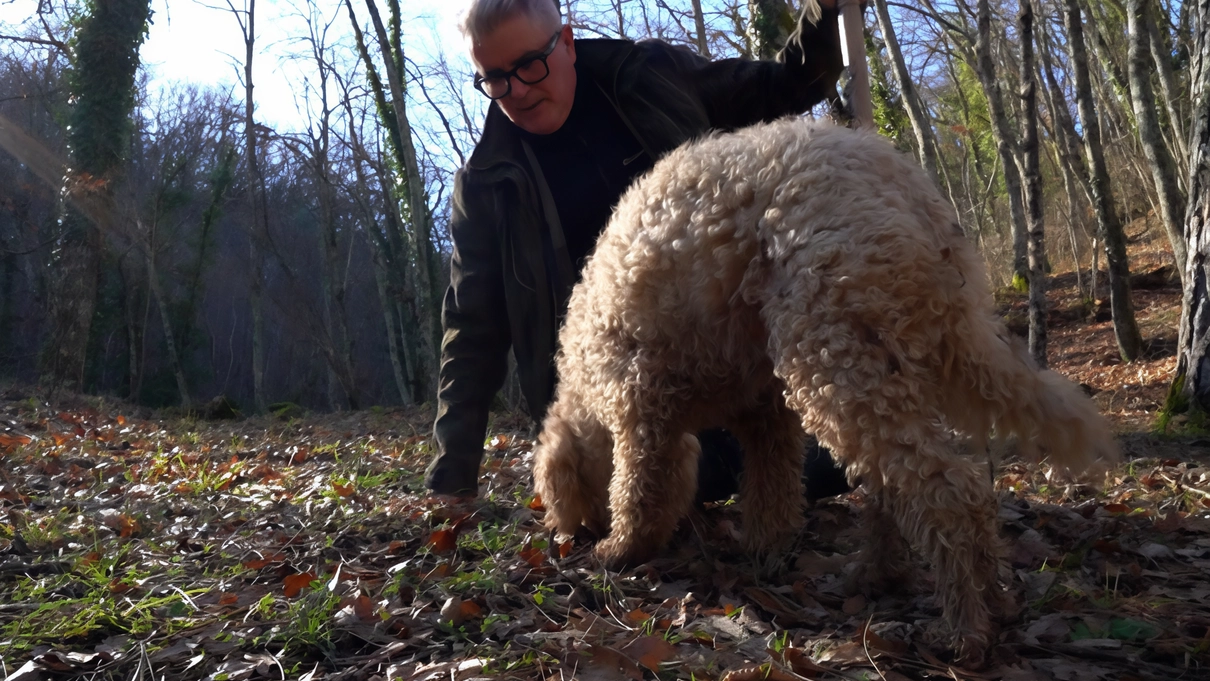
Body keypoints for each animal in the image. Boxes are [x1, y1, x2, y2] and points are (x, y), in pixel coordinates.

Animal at [534, 118, 1118, 667]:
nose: (567, 538)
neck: (583, 380)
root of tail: (912, 188)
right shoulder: (765, 412)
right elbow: (770, 491)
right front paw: (766, 549)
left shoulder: (643, 406)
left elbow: (641, 490)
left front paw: (621, 550)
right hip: (875, 366)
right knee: (898, 489)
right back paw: (918, 582)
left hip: (833, 360)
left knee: (950, 495)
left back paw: (964, 627)